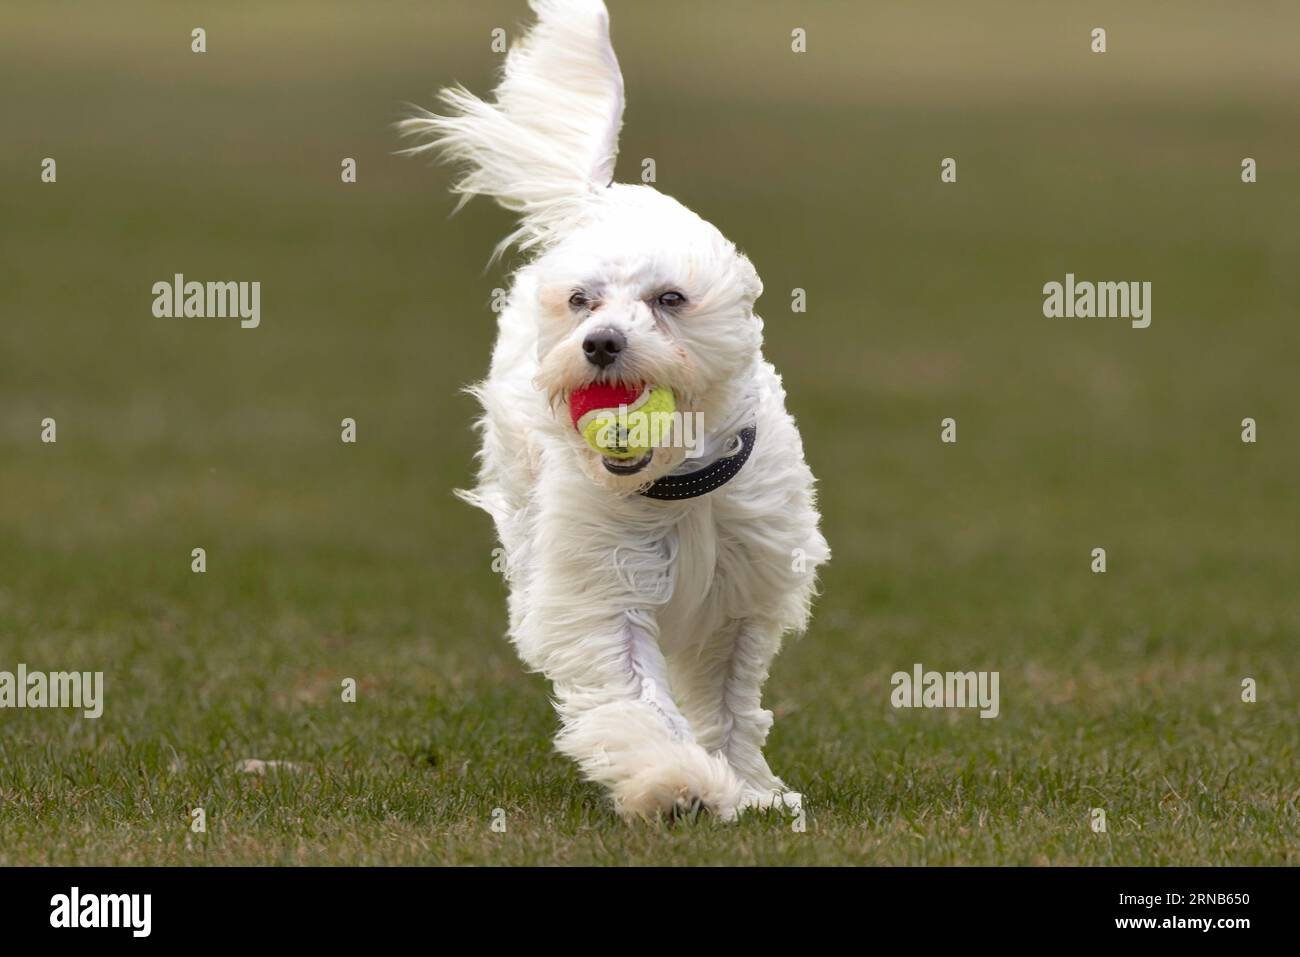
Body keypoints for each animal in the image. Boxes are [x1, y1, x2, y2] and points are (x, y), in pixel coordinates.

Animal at [405, 0, 826, 821]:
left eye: (670, 298)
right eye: (582, 300)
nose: (601, 343)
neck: (675, 487)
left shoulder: (740, 597)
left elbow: (729, 702)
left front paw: (748, 786)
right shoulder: (603, 592)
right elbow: (635, 694)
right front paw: (678, 782)